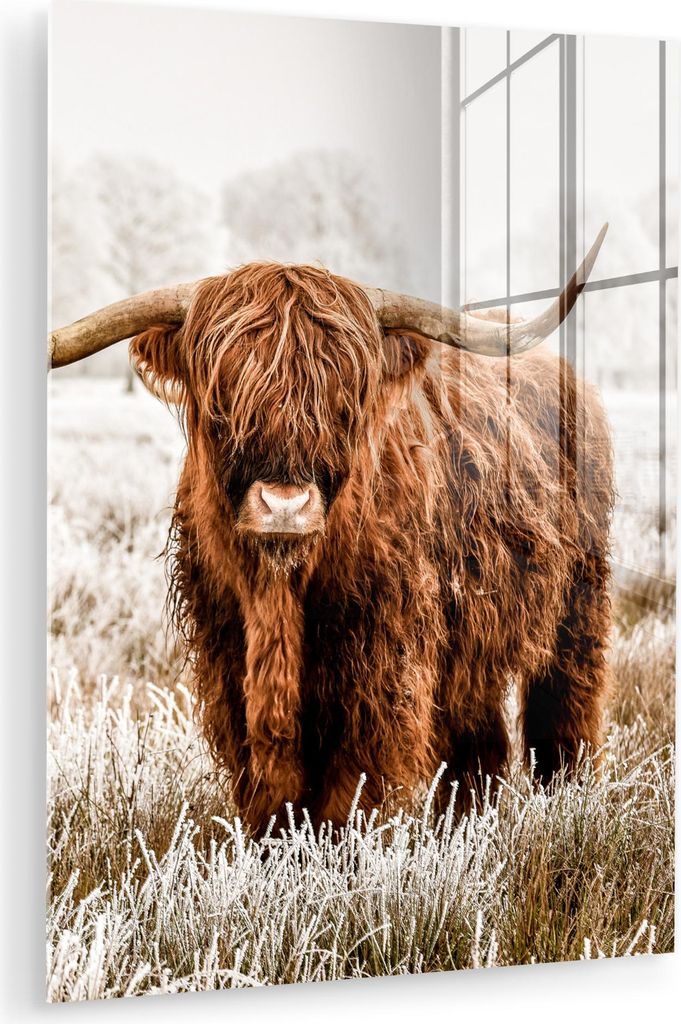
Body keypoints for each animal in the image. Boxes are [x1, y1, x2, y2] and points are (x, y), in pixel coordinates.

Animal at [49, 225, 614, 836]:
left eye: (345, 402)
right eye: (223, 399)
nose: (284, 506)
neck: (280, 598)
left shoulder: (381, 659)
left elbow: (353, 786)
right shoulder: (227, 655)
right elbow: (267, 786)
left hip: (579, 608)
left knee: (564, 711)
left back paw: (566, 804)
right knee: (478, 738)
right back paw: (462, 823)